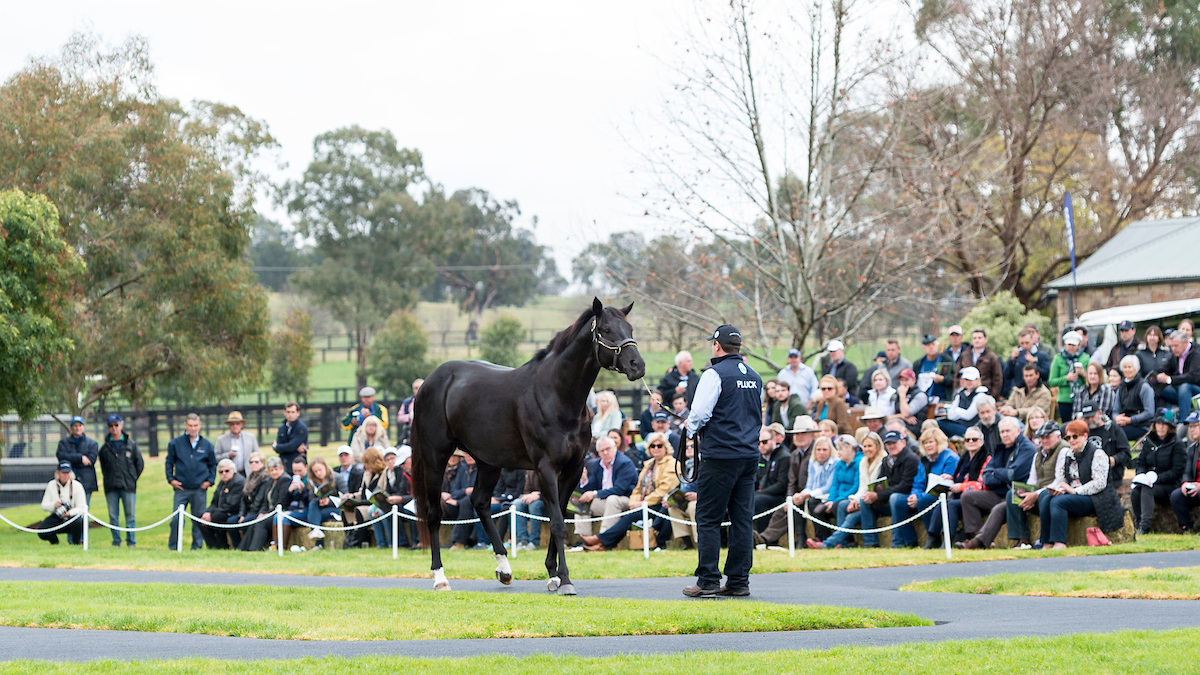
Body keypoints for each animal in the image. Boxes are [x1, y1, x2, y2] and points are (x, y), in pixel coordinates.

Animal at [410, 298, 646, 595]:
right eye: (605, 330)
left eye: (630, 328)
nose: (638, 365)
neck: (556, 395)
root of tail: (429, 382)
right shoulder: (546, 469)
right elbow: (557, 523)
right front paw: (565, 579)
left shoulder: (573, 469)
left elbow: (559, 517)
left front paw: (553, 575)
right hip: (435, 457)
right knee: (433, 512)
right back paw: (440, 577)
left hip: (488, 461)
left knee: (480, 503)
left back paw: (504, 569)